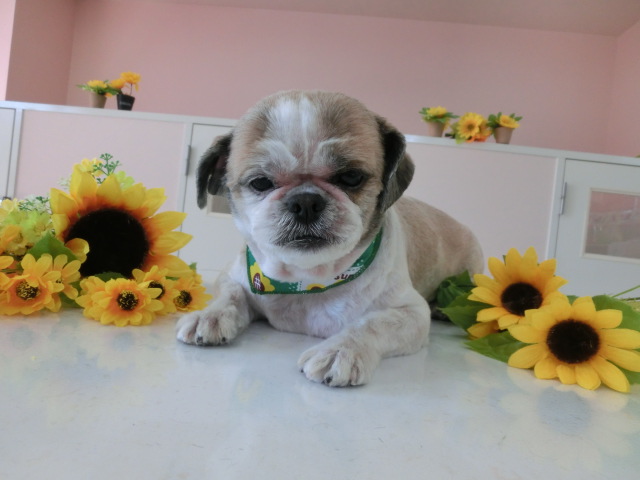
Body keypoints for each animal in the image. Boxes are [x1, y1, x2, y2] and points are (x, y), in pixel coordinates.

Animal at [176, 90, 483, 386]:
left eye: (351, 177)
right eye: (260, 182)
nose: (305, 201)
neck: (306, 281)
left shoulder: (411, 313)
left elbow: (371, 324)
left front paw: (341, 350)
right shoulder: (234, 275)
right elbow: (231, 294)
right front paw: (209, 315)